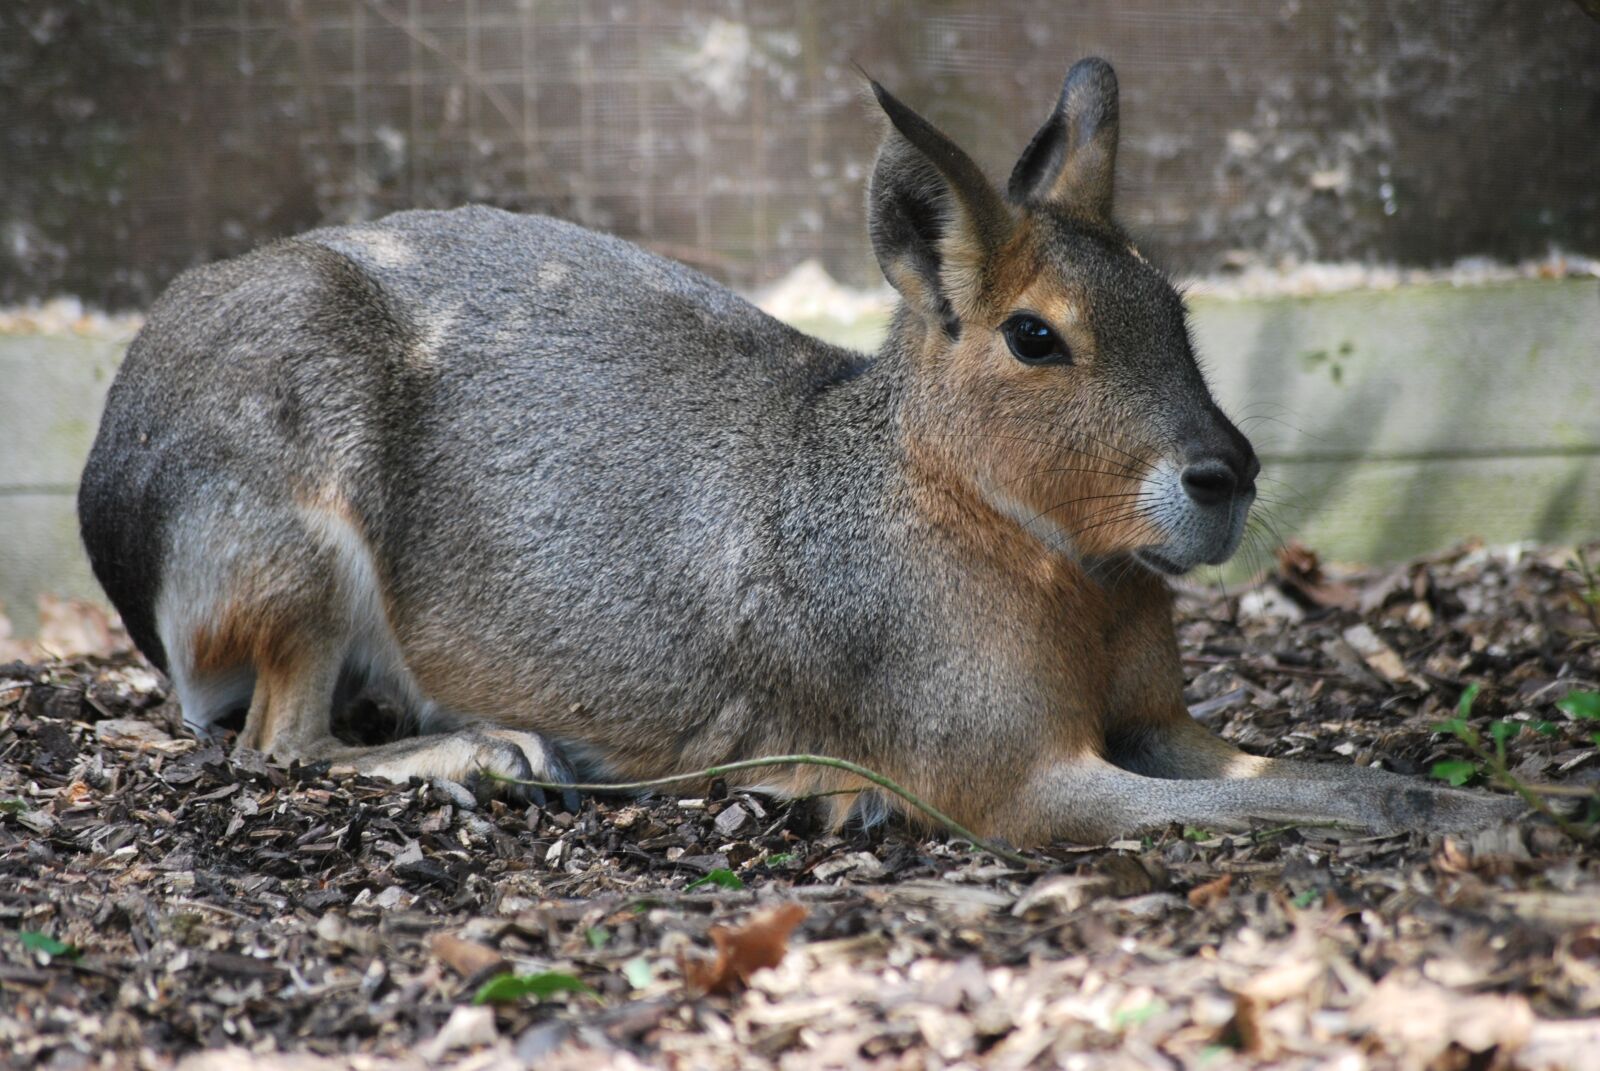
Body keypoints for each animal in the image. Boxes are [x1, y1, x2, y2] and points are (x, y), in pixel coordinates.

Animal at [78, 58, 1517, 844]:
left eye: (1173, 306)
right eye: (1035, 336)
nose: (1226, 474)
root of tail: (107, 493)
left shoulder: (1160, 721)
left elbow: (1331, 773)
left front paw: (1502, 808)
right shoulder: (1017, 782)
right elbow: (1289, 801)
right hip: (300, 528)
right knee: (277, 746)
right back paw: (499, 755)